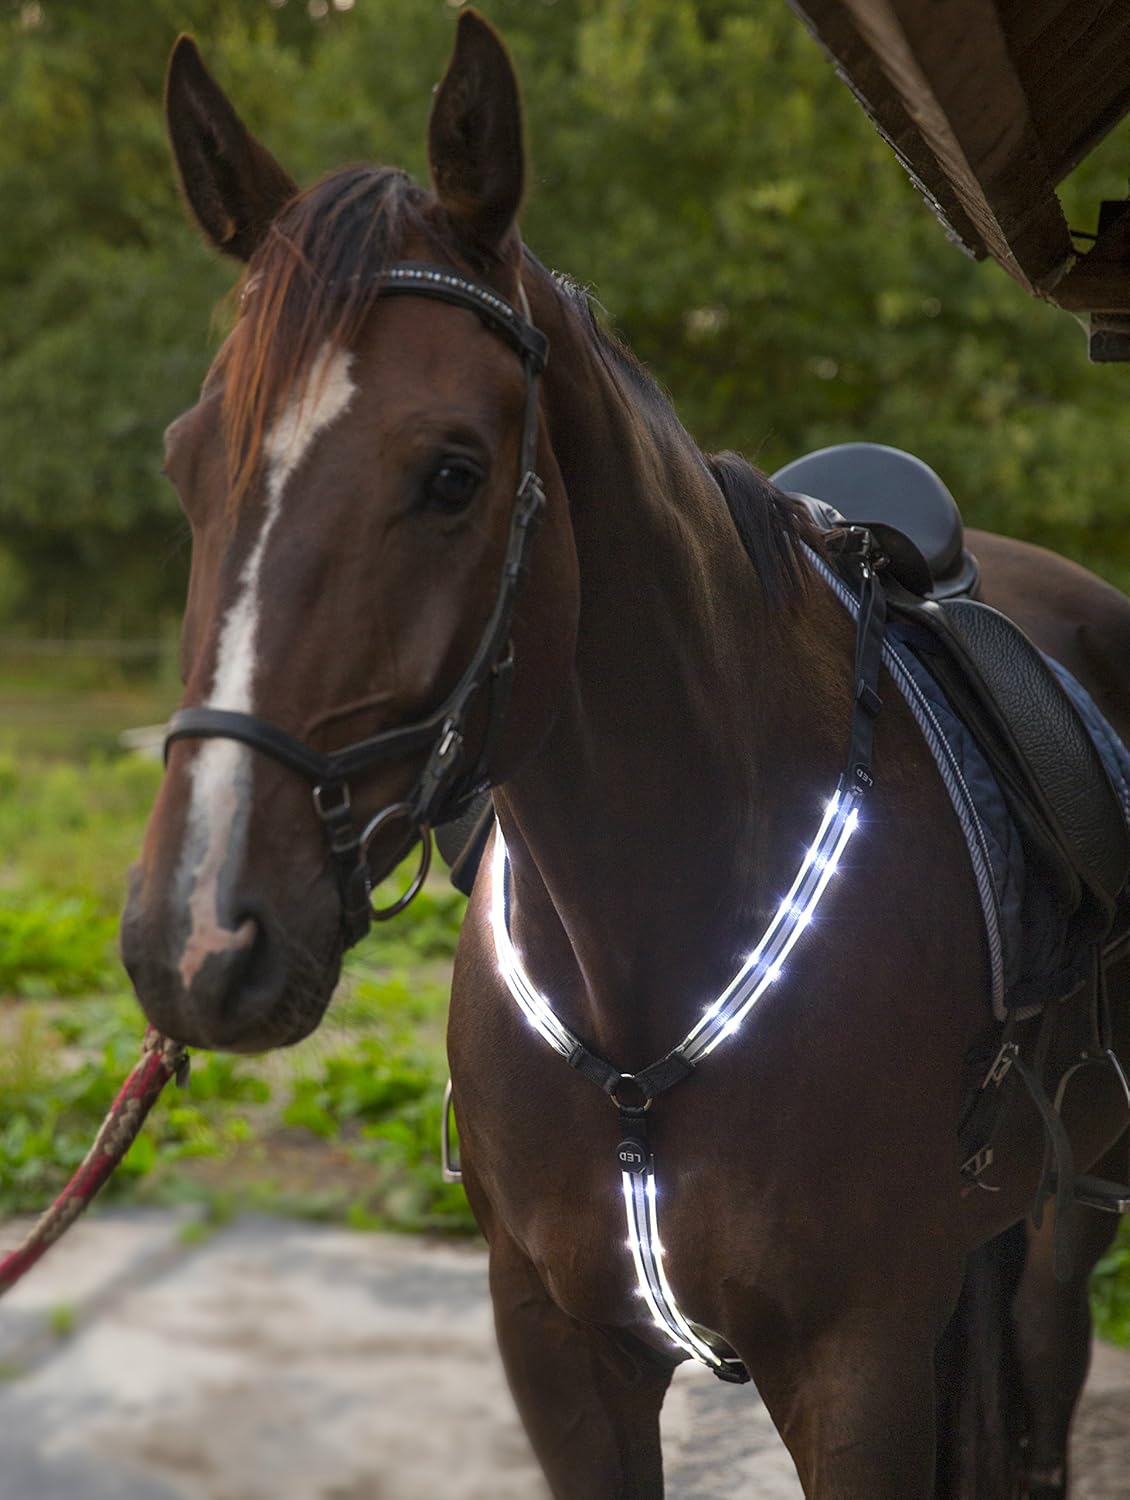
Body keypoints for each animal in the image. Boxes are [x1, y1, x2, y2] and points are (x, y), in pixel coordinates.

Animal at [121, 13, 1130, 1497]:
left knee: (1048, 1353)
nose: (196, 940)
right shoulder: (558, 1350)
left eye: (453, 473)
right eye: (189, 462)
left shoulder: (854, 1367)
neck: (644, 994)